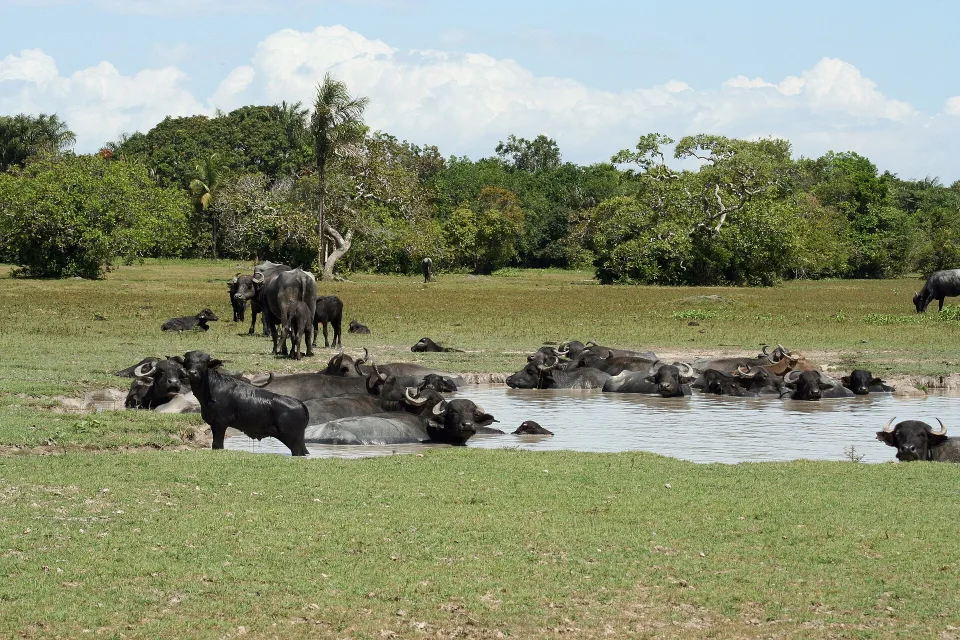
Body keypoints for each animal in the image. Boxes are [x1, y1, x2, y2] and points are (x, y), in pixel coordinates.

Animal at [180, 350, 309, 456]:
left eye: (203, 362)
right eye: (188, 361)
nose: (192, 372)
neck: (211, 389)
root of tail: (299, 403)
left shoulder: (220, 423)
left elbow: (217, 445)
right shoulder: (213, 423)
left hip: (293, 439)